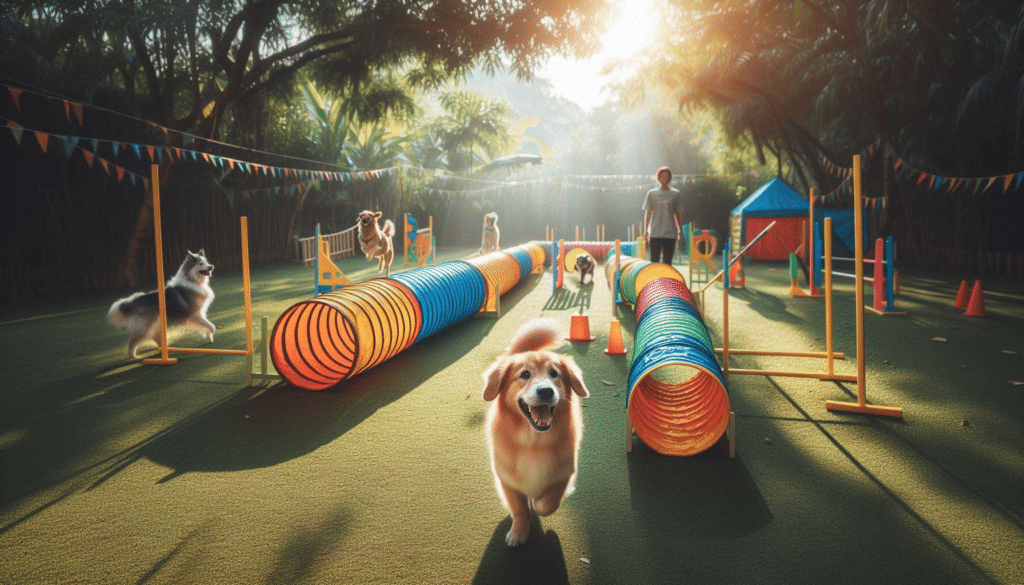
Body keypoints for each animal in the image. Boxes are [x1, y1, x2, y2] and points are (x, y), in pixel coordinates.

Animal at [481, 317, 589, 549]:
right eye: (524, 375)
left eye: (554, 374)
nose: (546, 391)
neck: (533, 442)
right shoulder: (507, 481)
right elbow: (520, 509)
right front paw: (519, 530)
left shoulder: (564, 474)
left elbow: (545, 504)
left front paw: (538, 501)